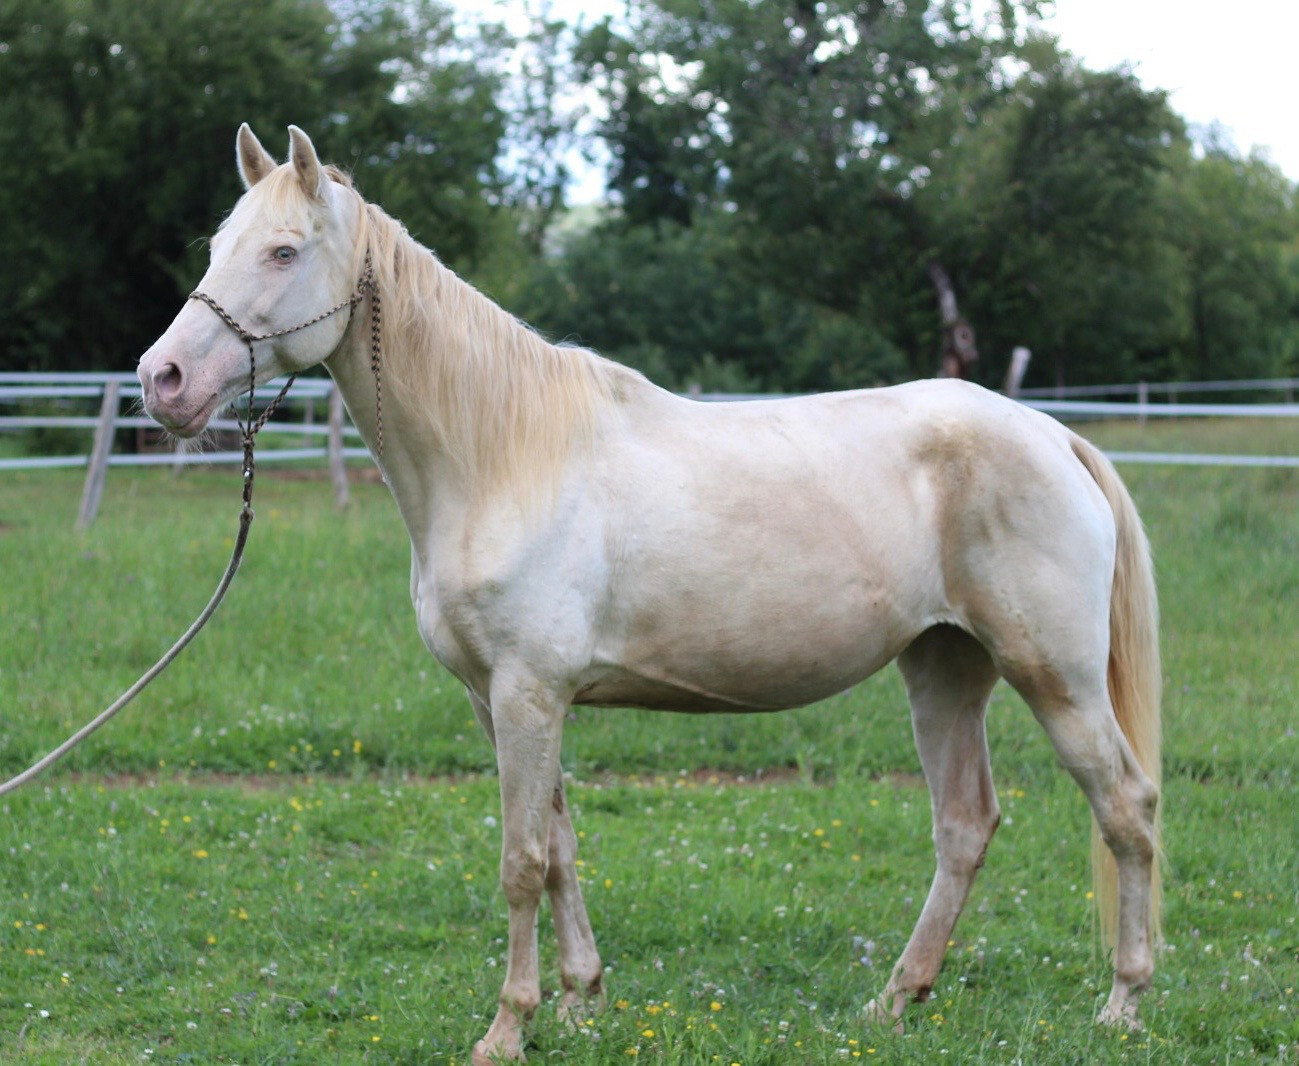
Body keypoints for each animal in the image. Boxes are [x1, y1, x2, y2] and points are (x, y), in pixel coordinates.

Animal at [138, 125, 1162, 1063]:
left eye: (282, 251)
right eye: (219, 245)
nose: (163, 380)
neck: (504, 458)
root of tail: (1051, 434)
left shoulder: (528, 693)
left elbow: (521, 861)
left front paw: (506, 1028)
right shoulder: (499, 701)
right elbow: (559, 849)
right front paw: (579, 1001)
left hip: (1053, 678)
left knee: (1125, 807)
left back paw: (1121, 1003)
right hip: (943, 668)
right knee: (964, 824)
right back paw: (893, 1001)